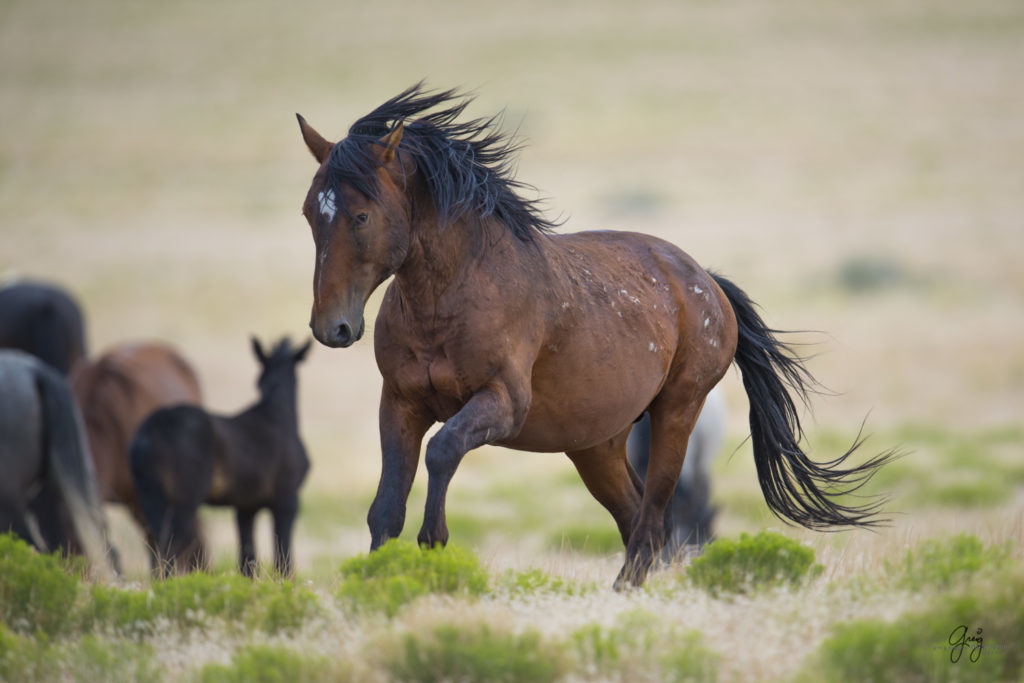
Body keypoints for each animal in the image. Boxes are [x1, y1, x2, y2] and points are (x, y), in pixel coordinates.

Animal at [130, 335, 309, 577]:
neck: (279, 413)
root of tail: (146, 436)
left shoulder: (246, 506)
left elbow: (247, 558)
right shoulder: (287, 498)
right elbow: (283, 556)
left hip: (150, 496)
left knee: (154, 545)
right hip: (184, 499)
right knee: (169, 547)